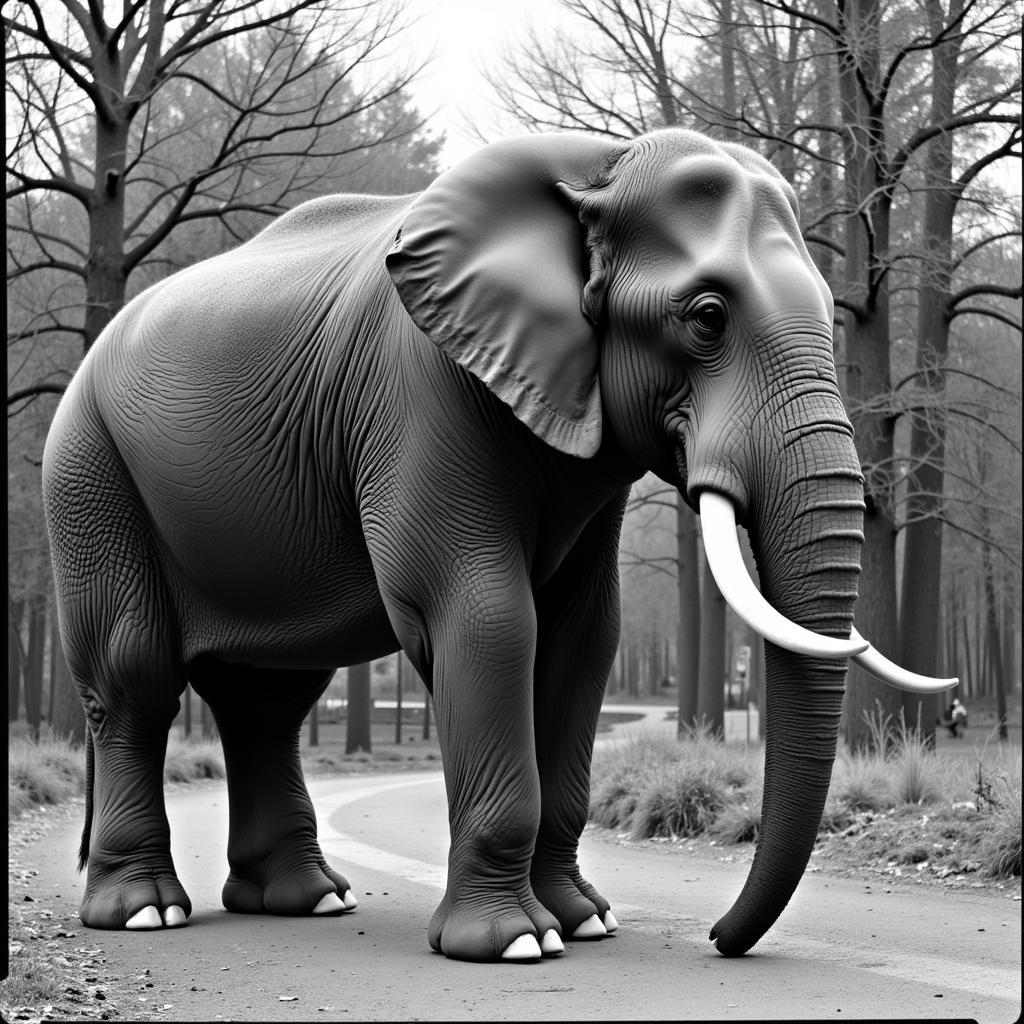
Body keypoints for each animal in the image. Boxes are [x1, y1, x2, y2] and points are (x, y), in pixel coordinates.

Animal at [39, 125, 950, 958]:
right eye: (707, 318)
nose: (720, 938)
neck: (598, 164)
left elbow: (584, 636)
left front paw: (585, 923)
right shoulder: (419, 389)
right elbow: (486, 617)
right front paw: (514, 941)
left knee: (270, 696)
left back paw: (309, 900)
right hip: (90, 474)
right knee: (134, 674)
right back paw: (147, 912)